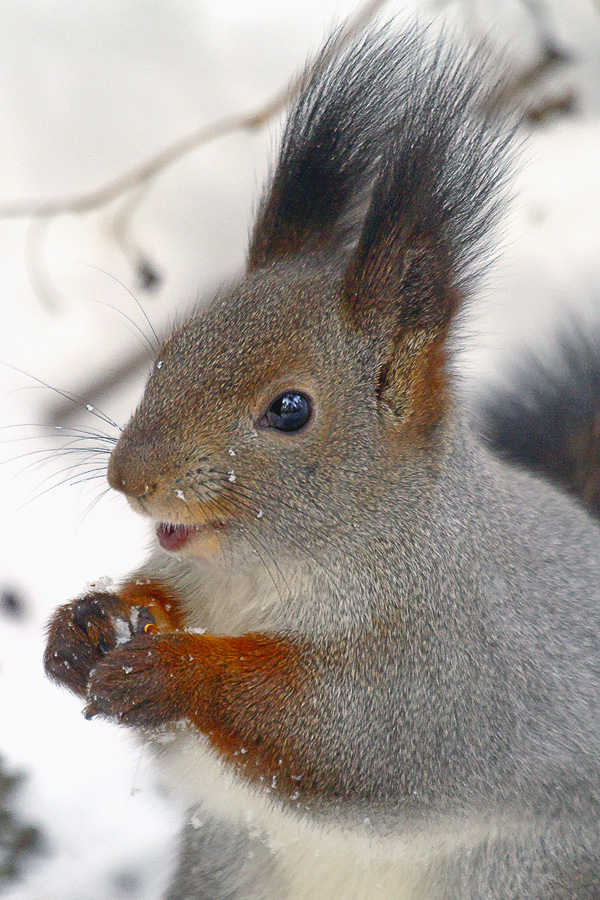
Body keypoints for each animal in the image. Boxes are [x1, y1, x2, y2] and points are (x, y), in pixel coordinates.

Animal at [44, 21, 600, 900]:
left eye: (290, 409)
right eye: (169, 352)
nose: (130, 479)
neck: (261, 578)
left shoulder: (456, 668)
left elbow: (345, 736)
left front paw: (180, 669)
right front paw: (88, 623)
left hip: (514, 878)